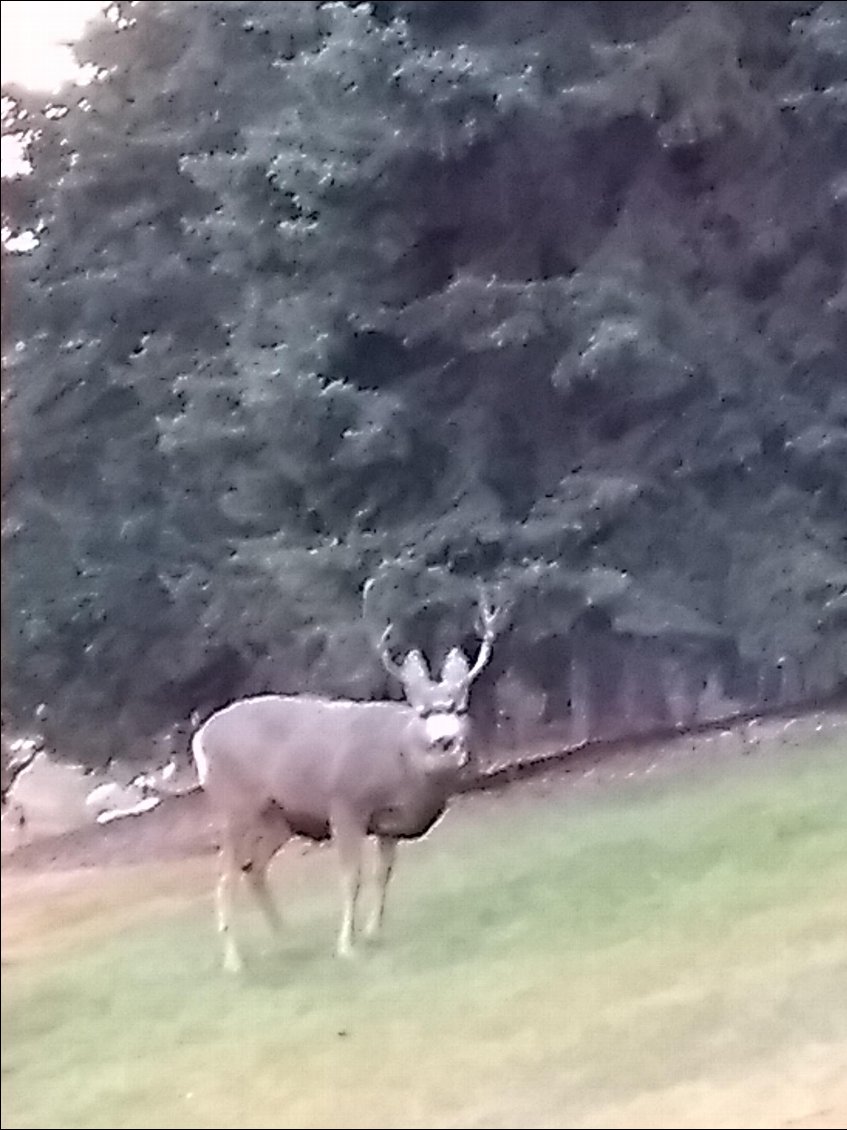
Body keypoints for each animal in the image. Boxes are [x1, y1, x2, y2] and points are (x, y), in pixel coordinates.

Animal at [190, 583, 503, 971]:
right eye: (422, 711)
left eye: (459, 708)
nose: (445, 742)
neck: (399, 760)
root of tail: (199, 738)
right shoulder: (345, 804)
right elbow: (351, 877)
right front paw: (346, 946)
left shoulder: (388, 825)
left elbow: (383, 875)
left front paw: (373, 933)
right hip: (234, 803)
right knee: (225, 875)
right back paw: (235, 962)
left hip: (277, 816)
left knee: (253, 867)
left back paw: (287, 939)